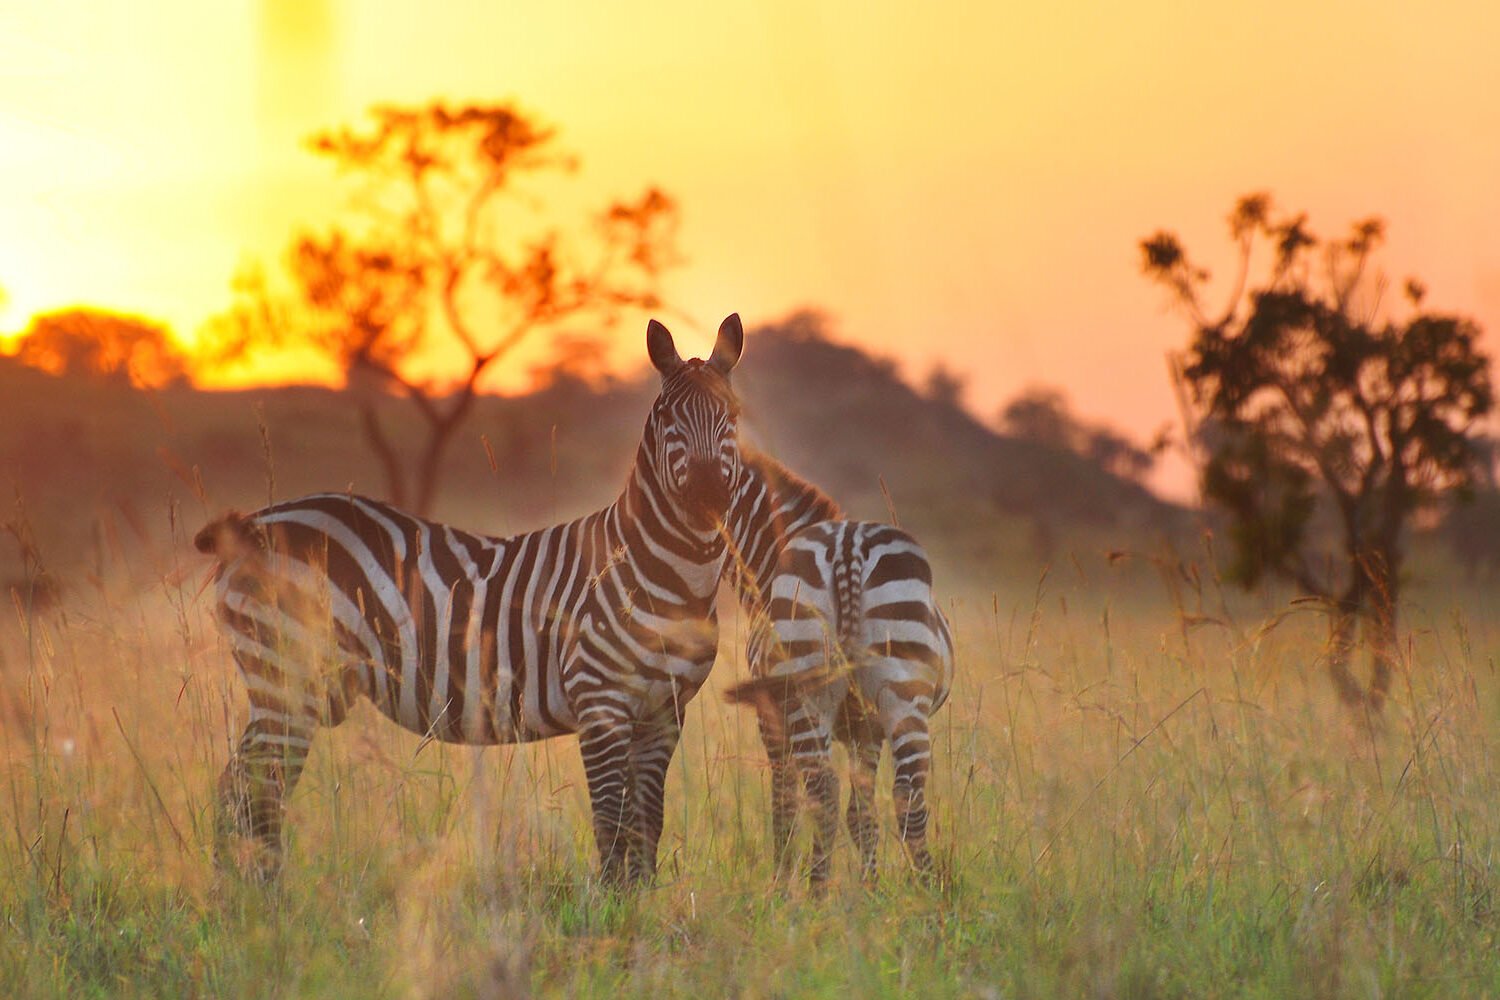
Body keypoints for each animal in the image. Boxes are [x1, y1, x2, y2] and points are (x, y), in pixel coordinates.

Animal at [193, 314, 744, 881]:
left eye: (733, 415)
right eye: (667, 418)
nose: (707, 500)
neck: (667, 575)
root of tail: (251, 526)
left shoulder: (663, 714)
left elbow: (647, 825)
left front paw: (640, 899)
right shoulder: (601, 703)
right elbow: (612, 825)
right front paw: (613, 901)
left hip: (290, 686)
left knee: (248, 789)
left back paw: (245, 888)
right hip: (284, 675)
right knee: (250, 792)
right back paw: (258, 892)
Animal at [729, 521, 960, 887]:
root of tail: (847, 545)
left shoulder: (786, 724)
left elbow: (800, 805)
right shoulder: (864, 729)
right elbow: (854, 811)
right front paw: (870, 886)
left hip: (817, 692)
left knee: (826, 790)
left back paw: (820, 890)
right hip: (898, 697)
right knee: (902, 794)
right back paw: (927, 889)